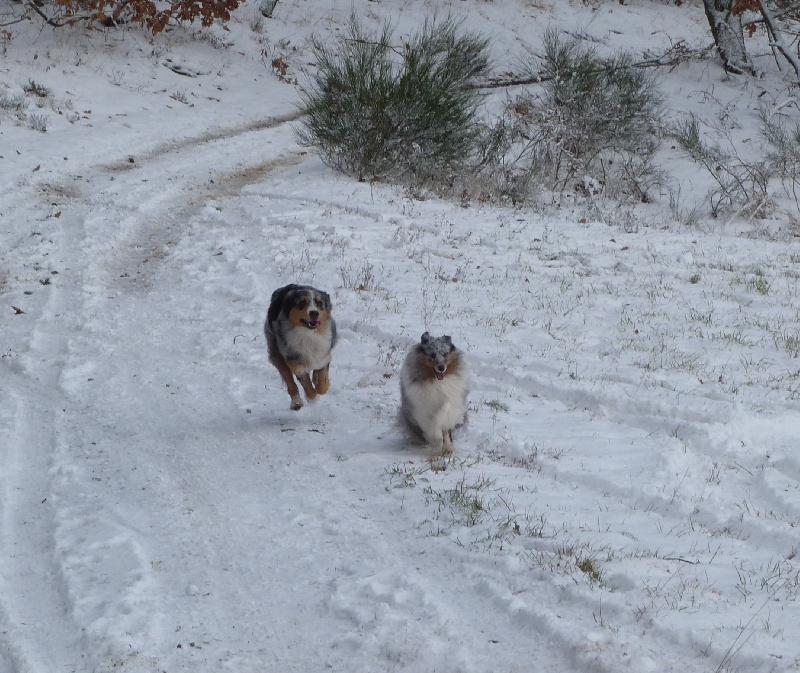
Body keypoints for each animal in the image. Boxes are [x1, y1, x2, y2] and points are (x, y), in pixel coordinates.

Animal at [264, 282, 336, 410]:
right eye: (302, 302)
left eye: (319, 303)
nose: (314, 313)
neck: (309, 334)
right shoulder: (295, 361)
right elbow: (306, 385)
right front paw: (312, 398)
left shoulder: (324, 354)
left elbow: (323, 384)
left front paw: (319, 385)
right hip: (276, 352)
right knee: (289, 380)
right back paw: (296, 402)